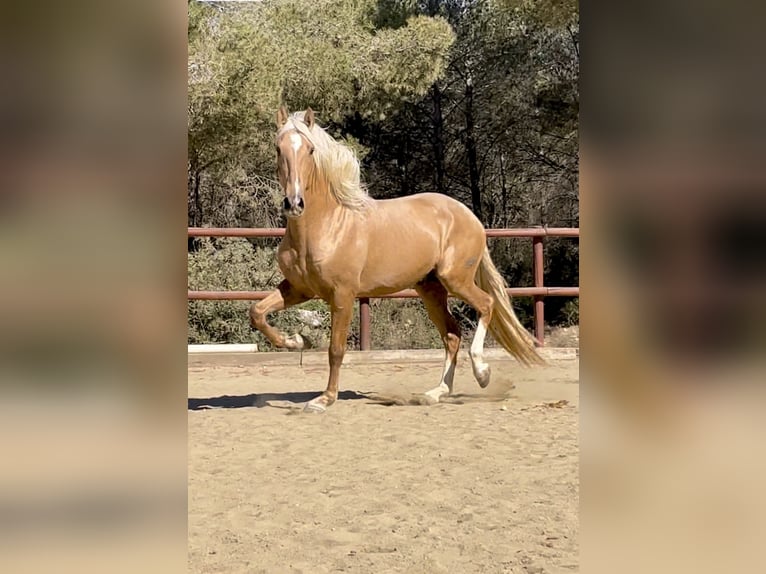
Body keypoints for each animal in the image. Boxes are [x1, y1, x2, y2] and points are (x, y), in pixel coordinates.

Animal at [249, 107, 544, 414]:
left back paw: (482, 372)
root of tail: (469, 216)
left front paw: (324, 399)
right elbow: (257, 312)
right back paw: (434, 393)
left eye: (310, 149)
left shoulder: (342, 294)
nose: (294, 203)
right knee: (452, 334)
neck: (328, 225)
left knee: (486, 305)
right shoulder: (299, 289)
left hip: (456, 280)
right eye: (278, 148)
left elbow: (336, 349)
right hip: (430, 289)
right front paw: (296, 341)